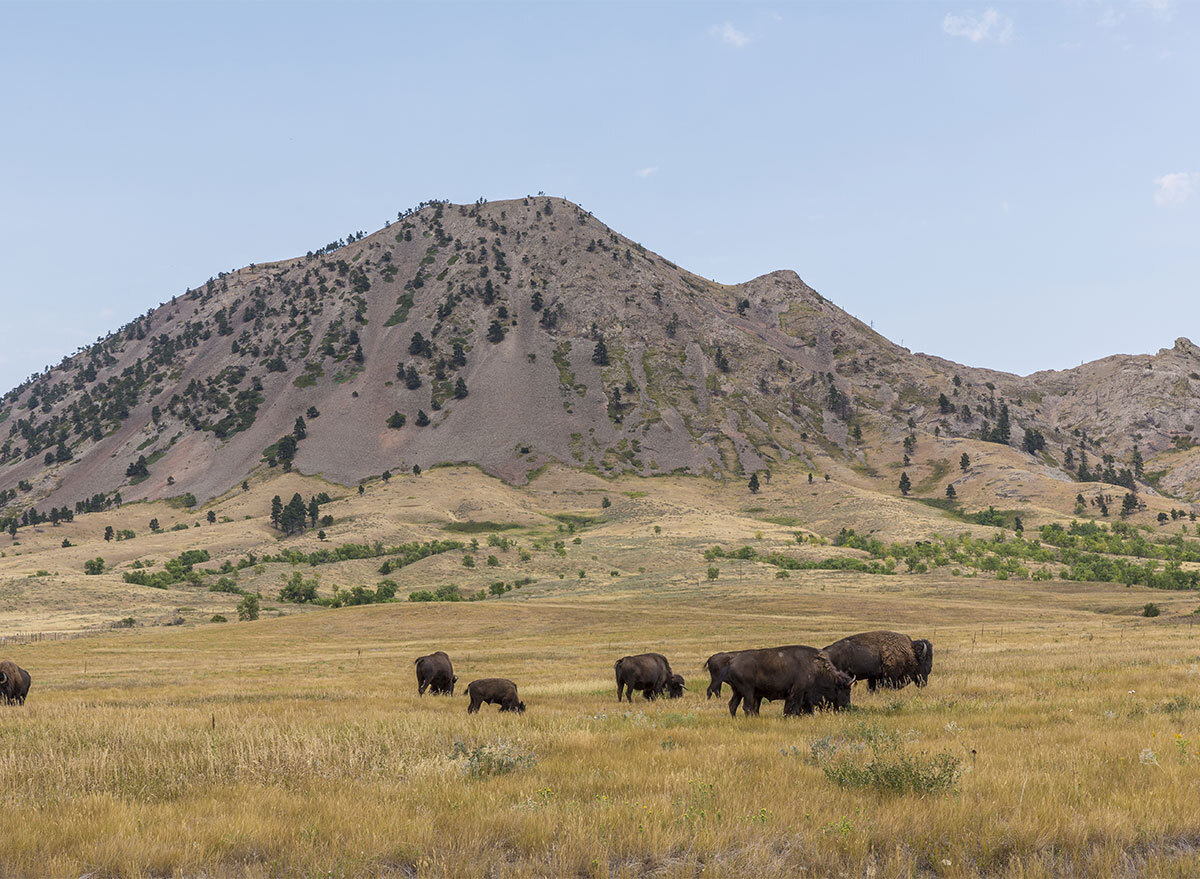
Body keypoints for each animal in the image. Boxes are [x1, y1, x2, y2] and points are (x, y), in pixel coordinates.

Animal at [721, 646, 853, 717]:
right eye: (846, 691)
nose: (847, 706)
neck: (816, 668)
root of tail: (732, 662)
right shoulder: (798, 692)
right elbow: (795, 707)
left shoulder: (800, 695)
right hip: (747, 691)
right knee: (747, 707)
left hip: (737, 692)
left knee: (733, 704)